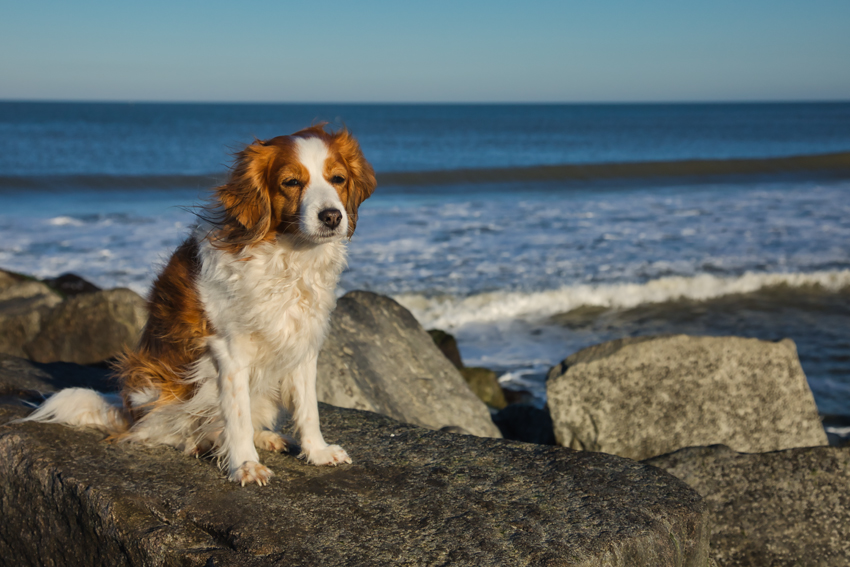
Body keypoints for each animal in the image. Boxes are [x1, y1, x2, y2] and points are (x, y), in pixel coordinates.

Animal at [20, 126, 374, 486]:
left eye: (338, 178)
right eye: (291, 182)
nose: (332, 217)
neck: (286, 257)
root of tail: (128, 413)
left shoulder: (303, 342)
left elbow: (308, 408)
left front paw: (317, 451)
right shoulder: (229, 351)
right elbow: (237, 415)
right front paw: (244, 464)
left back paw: (264, 437)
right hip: (154, 384)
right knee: (163, 431)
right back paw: (200, 443)